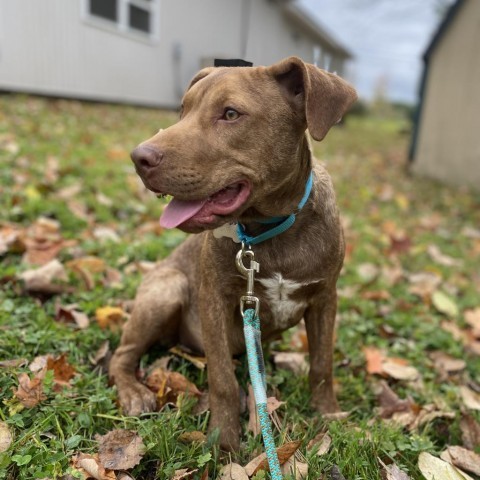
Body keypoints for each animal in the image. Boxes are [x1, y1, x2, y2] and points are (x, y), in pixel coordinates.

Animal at [109, 56, 356, 450]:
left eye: (230, 114)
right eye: (182, 110)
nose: (138, 158)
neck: (269, 230)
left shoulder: (325, 297)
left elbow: (322, 364)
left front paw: (328, 415)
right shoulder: (214, 299)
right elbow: (222, 379)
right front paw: (224, 440)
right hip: (168, 289)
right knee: (121, 355)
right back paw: (134, 393)